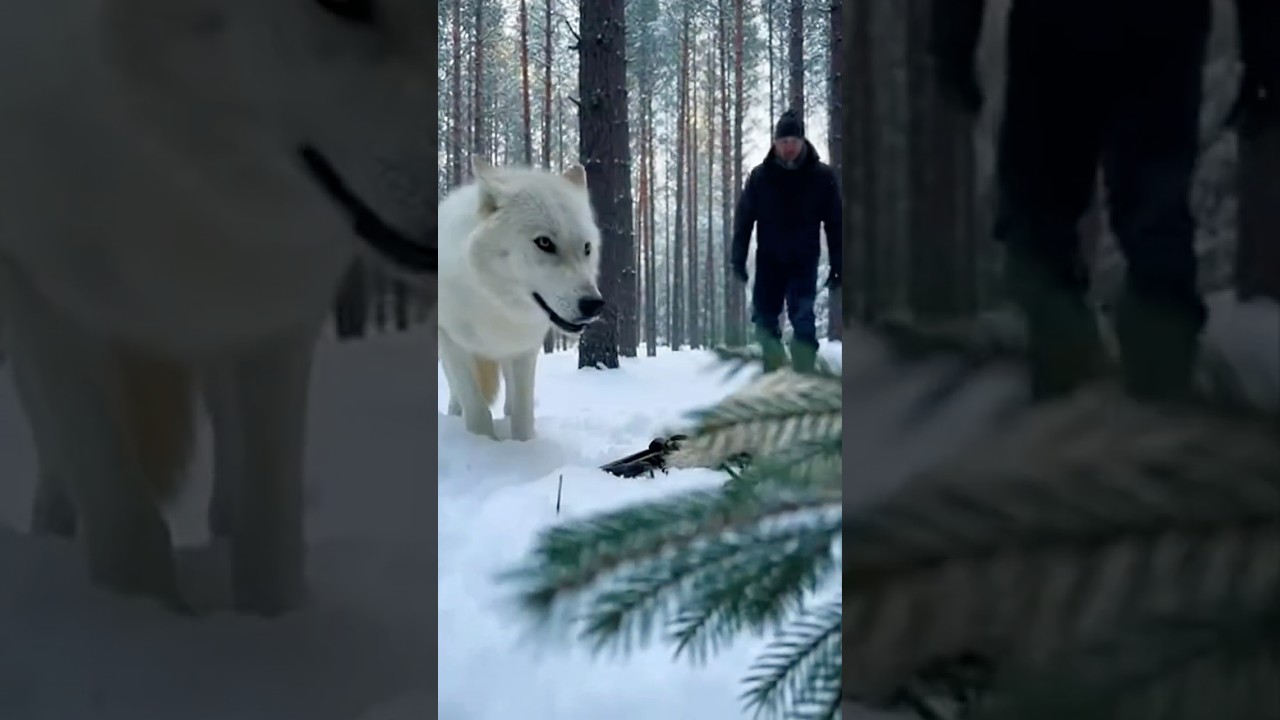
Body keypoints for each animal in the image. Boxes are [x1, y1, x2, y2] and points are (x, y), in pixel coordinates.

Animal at [0, 0, 433, 615]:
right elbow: (122, 520)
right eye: (344, 5)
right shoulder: (41, 283)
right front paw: (141, 617)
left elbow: (269, 527)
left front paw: (271, 622)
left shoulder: (276, 308)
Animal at [426, 157, 604, 441]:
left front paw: (523, 446)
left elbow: (522, 413)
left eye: (586, 248)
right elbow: (476, 409)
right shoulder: (451, 341)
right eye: (544, 242)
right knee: (456, 392)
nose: (594, 305)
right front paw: (484, 443)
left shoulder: (523, 349)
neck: (496, 304)